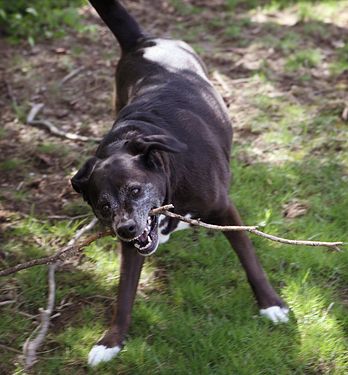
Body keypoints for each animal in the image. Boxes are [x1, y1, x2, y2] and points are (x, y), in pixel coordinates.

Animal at [70, 0, 288, 368]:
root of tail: (143, 40)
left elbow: (250, 260)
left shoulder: (225, 210)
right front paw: (111, 341)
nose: (125, 229)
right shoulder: (135, 245)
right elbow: (124, 293)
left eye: (135, 189)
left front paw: (270, 304)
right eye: (103, 206)